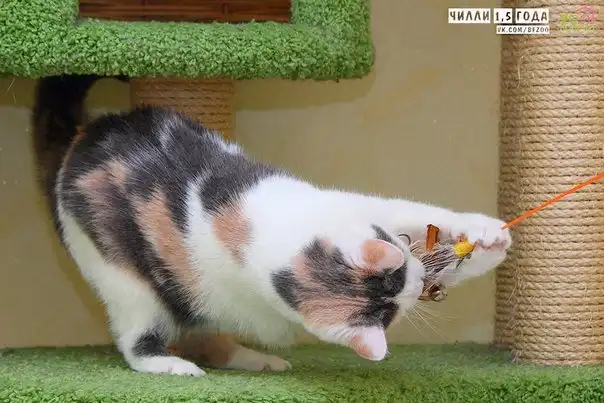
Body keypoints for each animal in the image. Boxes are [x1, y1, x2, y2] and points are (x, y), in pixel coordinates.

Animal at [32, 75, 511, 376]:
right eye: (393, 311)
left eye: (401, 273)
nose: (416, 282)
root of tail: (76, 143)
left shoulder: (358, 207)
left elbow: (423, 217)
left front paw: (487, 235)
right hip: (128, 283)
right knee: (140, 339)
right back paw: (172, 364)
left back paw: (257, 360)